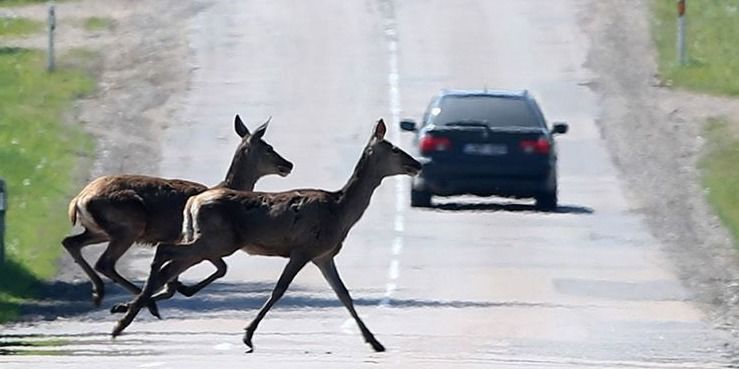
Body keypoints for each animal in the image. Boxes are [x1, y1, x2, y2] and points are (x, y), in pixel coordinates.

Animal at [60, 115, 292, 316]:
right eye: (268, 148)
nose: (288, 164)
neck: (225, 186)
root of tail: (78, 200)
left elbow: (185, 280)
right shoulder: (196, 240)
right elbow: (216, 270)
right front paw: (178, 290)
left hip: (100, 231)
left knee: (71, 242)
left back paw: (100, 293)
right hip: (129, 226)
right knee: (104, 262)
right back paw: (140, 301)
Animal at [110, 118, 422, 350]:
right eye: (394, 148)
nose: (416, 164)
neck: (340, 211)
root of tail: (192, 203)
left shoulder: (323, 255)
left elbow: (343, 293)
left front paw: (375, 342)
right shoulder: (304, 248)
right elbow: (279, 289)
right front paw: (247, 335)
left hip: (206, 240)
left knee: (169, 264)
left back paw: (128, 313)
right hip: (216, 240)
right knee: (164, 252)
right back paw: (124, 319)